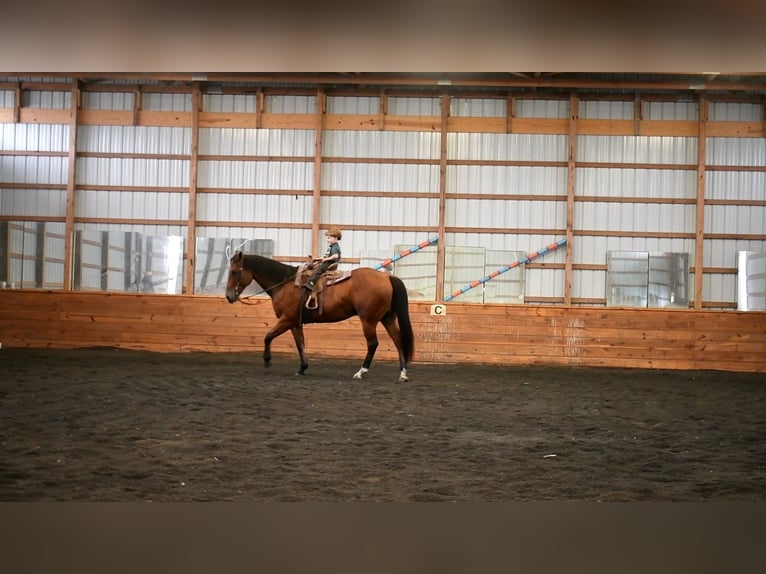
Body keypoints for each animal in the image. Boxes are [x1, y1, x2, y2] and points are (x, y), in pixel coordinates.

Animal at [224, 252, 414, 382]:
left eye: (234, 272)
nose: (229, 296)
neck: (285, 284)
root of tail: (387, 277)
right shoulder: (295, 323)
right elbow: (300, 344)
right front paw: (302, 368)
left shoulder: (287, 319)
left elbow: (268, 336)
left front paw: (267, 361)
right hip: (387, 318)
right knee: (398, 341)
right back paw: (403, 374)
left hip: (368, 320)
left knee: (373, 344)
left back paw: (361, 372)